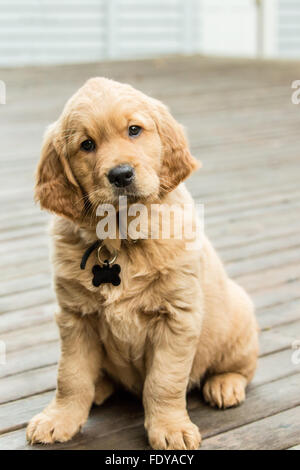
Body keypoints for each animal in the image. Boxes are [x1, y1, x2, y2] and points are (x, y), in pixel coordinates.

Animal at [27, 79, 258, 450]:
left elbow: (163, 381)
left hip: (238, 321)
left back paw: (225, 384)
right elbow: (71, 376)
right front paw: (58, 419)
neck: (120, 239)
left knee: (242, 367)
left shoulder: (176, 317)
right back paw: (100, 387)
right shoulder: (75, 317)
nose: (121, 174)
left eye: (134, 130)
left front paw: (170, 428)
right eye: (86, 145)